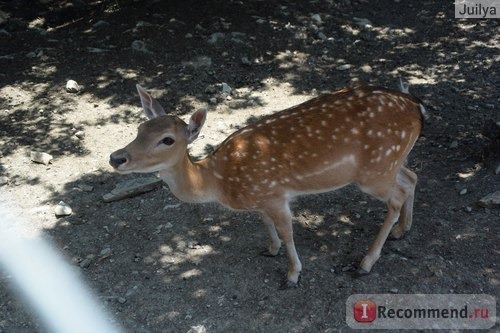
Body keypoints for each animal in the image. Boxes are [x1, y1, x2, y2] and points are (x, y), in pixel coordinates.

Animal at [109, 81, 426, 288]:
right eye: (139, 128)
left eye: (167, 140)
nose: (116, 157)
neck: (219, 181)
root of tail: (416, 106)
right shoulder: (261, 197)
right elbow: (264, 222)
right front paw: (270, 249)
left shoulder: (274, 194)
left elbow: (287, 232)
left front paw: (292, 275)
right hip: (391, 162)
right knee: (411, 178)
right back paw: (403, 230)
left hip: (375, 172)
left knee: (396, 197)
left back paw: (366, 262)